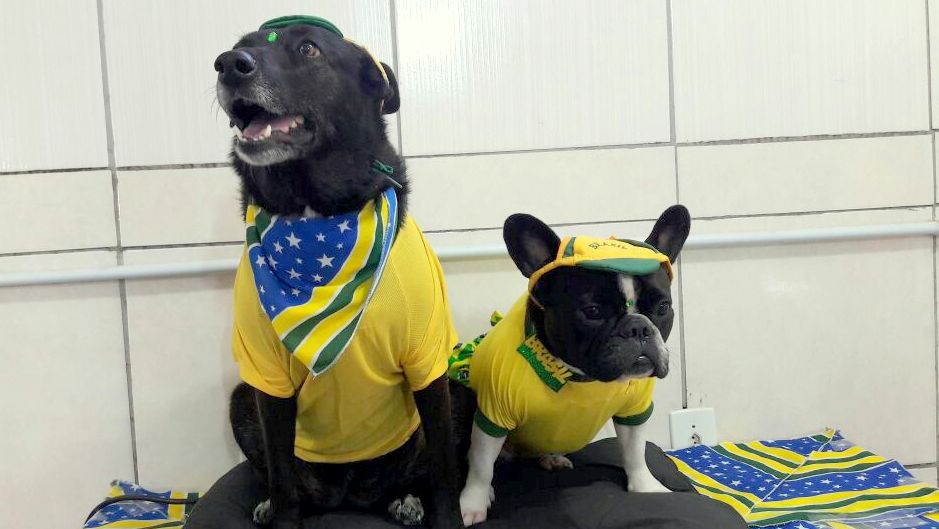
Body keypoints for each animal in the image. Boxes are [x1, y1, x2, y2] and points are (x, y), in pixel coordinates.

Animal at [214, 18, 462, 524]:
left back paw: (405, 499)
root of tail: (351, 496)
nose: (228, 64)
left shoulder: (429, 363)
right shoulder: (267, 378)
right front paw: (281, 514)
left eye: (309, 49)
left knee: (422, 470)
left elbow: (444, 473)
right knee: (285, 479)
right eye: (238, 47)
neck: (316, 217)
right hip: (241, 399)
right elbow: (282, 479)